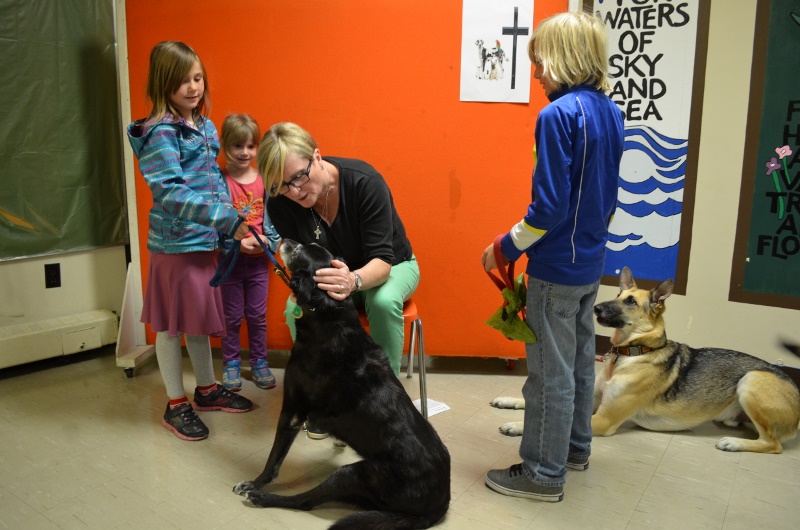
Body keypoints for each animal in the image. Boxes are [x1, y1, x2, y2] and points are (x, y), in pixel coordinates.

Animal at [234, 240, 454, 528]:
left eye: (298, 252)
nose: (286, 241)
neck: (329, 314)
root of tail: (440, 504)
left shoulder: (292, 411)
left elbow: (273, 460)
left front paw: (254, 484)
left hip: (351, 474)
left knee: (304, 502)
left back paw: (262, 498)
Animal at [490, 266, 796, 452]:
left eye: (630, 302)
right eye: (619, 293)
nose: (596, 308)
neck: (631, 354)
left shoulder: (602, 419)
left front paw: (517, 426)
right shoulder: (591, 401)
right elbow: (534, 403)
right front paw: (508, 401)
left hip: (751, 379)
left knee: (774, 444)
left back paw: (733, 443)